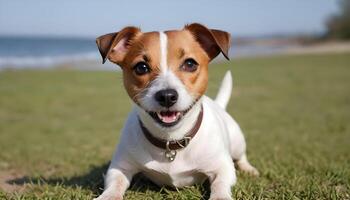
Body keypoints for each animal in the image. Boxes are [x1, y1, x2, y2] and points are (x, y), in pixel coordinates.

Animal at [94, 22, 258, 199]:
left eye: (190, 64)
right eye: (141, 67)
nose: (166, 96)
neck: (170, 141)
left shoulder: (222, 168)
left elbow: (219, 184)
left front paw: (220, 196)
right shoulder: (120, 167)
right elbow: (115, 183)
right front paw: (108, 196)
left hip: (237, 142)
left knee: (241, 157)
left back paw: (249, 169)